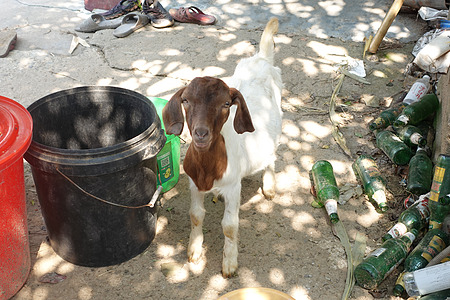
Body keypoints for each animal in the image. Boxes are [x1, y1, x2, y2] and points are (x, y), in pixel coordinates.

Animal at [162, 18, 282, 276]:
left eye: (227, 103)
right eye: (185, 100)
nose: (201, 133)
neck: (208, 169)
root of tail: (262, 58)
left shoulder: (233, 187)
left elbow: (229, 225)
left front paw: (229, 262)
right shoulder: (194, 183)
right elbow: (196, 215)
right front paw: (194, 250)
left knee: (272, 154)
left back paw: (269, 185)